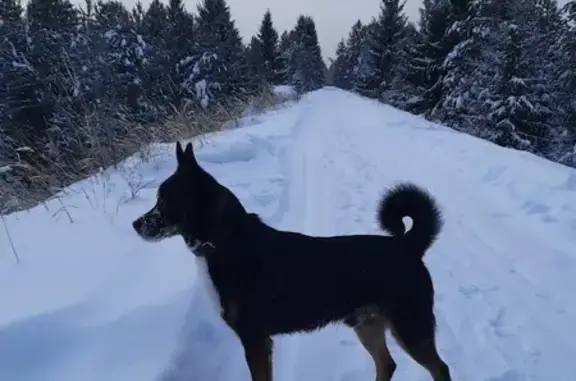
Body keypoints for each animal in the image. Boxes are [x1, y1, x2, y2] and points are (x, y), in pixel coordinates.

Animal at [133, 140, 452, 380]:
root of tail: (408, 245)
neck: (224, 241)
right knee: (387, 364)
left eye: (162, 201)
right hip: (368, 324)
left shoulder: (255, 339)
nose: (135, 225)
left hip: (411, 326)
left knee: (440, 369)